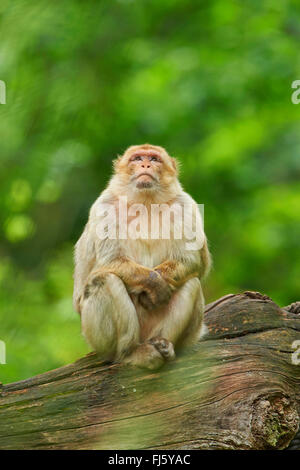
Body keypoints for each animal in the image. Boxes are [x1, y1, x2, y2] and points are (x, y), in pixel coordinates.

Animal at [72, 143, 211, 370]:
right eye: (137, 158)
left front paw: (157, 285)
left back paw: (163, 345)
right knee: (103, 279)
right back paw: (130, 353)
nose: (145, 165)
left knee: (191, 283)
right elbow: (110, 261)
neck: (145, 202)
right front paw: (154, 283)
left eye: (154, 159)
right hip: (96, 339)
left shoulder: (185, 205)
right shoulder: (104, 205)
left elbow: (191, 261)